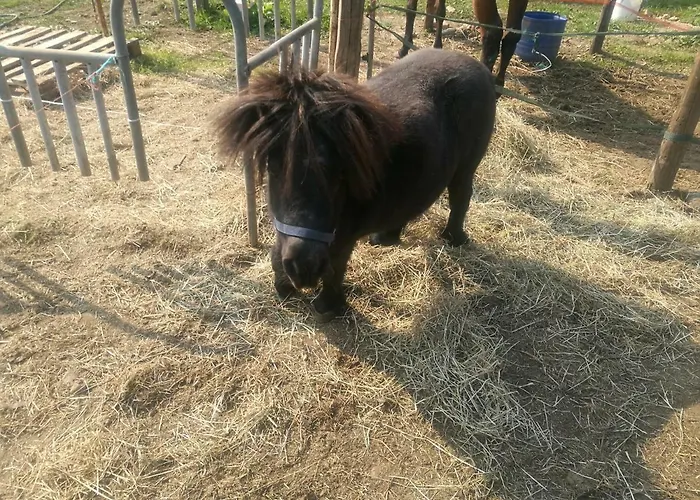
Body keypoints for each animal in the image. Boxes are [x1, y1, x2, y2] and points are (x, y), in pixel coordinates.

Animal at [213, 48, 496, 321]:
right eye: (273, 168)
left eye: (337, 174)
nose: (303, 268)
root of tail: (476, 65)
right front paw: (283, 285)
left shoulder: (343, 236)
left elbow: (336, 266)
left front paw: (329, 306)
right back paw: (386, 237)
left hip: (466, 167)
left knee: (460, 198)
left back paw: (454, 238)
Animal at [398, 0, 530, 90]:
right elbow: (440, 11)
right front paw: (437, 46)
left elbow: (411, 8)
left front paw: (404, 48)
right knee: (512, 34)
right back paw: (498, 86)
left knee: (493, 32)